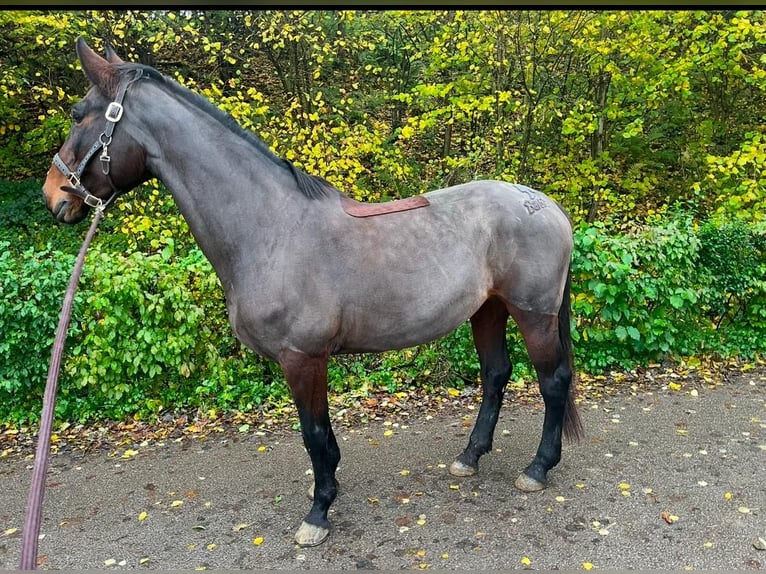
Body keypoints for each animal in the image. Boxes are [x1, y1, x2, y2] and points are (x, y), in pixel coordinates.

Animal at [42, 37, 584, 548]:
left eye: (77, 114)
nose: (54, 197)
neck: (271, 228)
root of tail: (545, 205)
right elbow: (323, 439)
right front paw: (325, 492)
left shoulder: (302, 357)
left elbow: (314, 434)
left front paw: (318, 513)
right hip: (488, 310)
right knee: (496, 375)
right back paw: (469, 457)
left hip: (533, 313)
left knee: (553, 381)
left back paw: (538, 468)